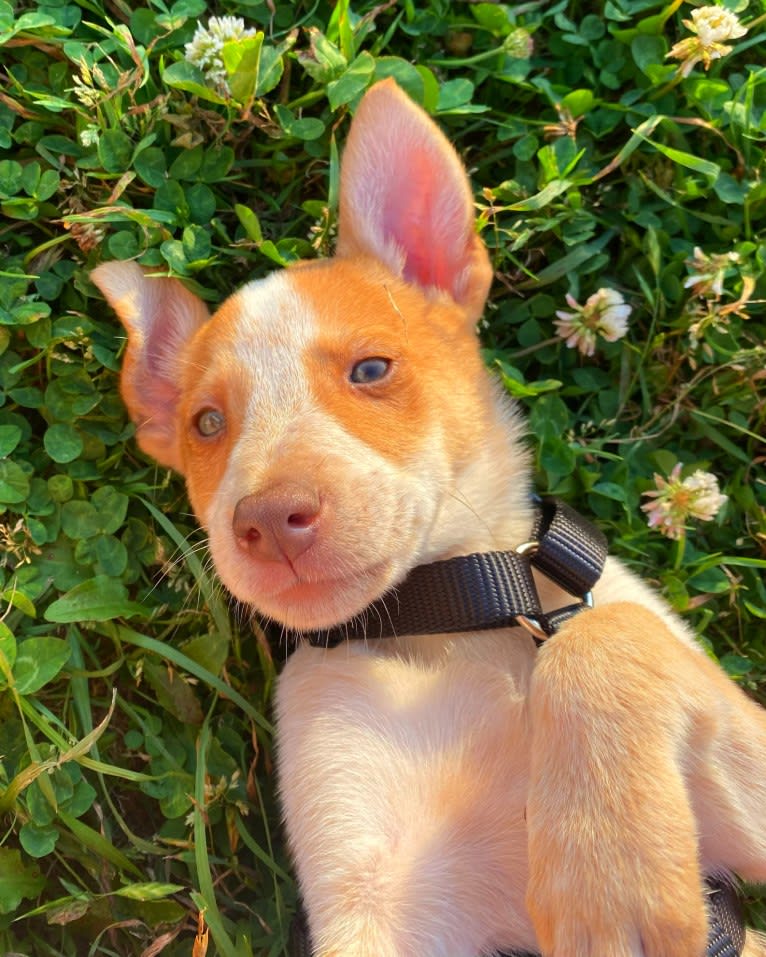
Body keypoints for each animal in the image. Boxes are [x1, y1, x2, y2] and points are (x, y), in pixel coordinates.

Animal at [93, 82, 766, 956]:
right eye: (206, 425)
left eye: (372, 368)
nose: (269, 518)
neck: (462, 609)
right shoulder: (370, 898)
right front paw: (611, 881)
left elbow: (600, 629)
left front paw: (609, 879)